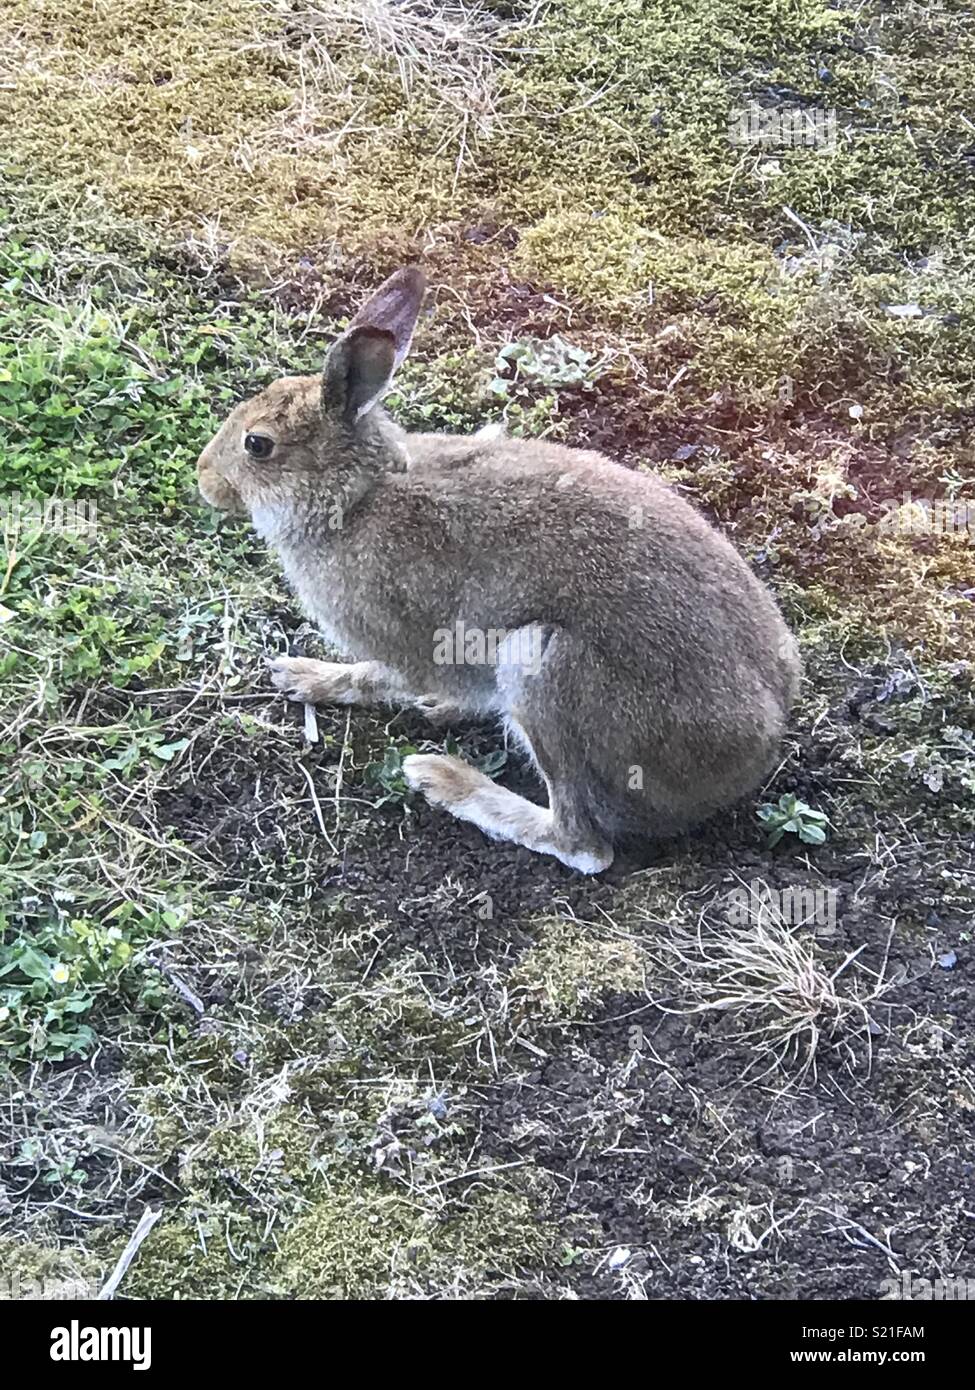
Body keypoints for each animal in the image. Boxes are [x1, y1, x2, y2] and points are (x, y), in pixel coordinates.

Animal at [197, 267, 801, 874]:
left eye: (257, 445)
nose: (204, 479)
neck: (359, 495)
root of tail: (755, 754)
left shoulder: (405, 644)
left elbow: (373, 675)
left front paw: (306, 676)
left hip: (544, 668)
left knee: (583, 843)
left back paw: (446, 780)